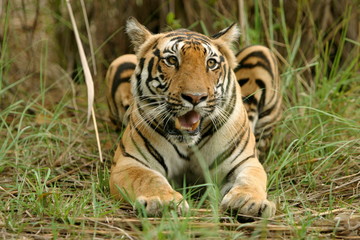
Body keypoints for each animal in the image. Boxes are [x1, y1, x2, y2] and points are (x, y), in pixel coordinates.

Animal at [107, 16, 282, 219]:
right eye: (172, 60)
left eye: (211, 63)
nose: (195, 97)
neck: (188, 143)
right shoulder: (129, 162)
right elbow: (149, 179)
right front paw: (162, 201)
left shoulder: (246, 162)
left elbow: (250, 180)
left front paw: (249, 202)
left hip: (261, 51)